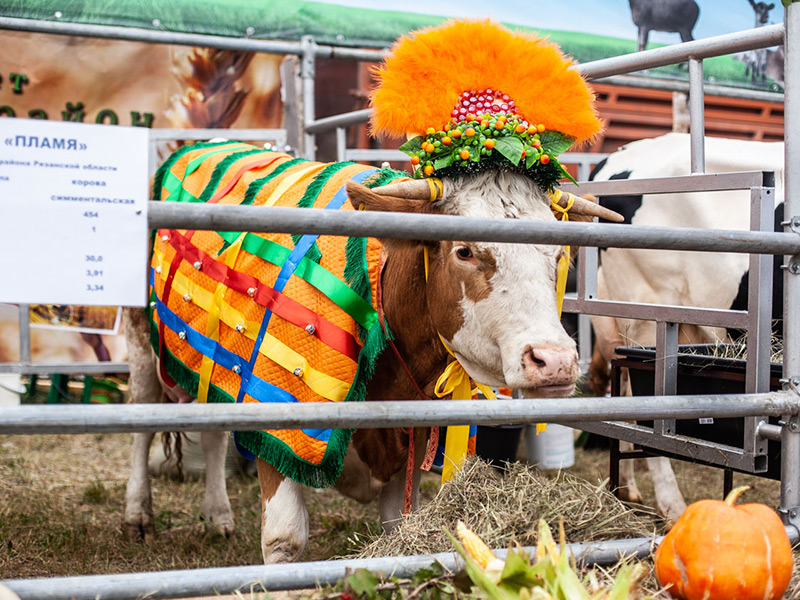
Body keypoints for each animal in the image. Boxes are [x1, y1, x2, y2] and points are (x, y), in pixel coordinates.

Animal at [122, 18, 620, 564]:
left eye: (559, 256)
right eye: (464, 251)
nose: (555, 361)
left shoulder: (405, 443)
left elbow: (396, 532)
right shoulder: (278, 418)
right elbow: (284, 539)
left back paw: (217, 514)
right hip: (141, 342)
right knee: (141, 420)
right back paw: (137, 514)